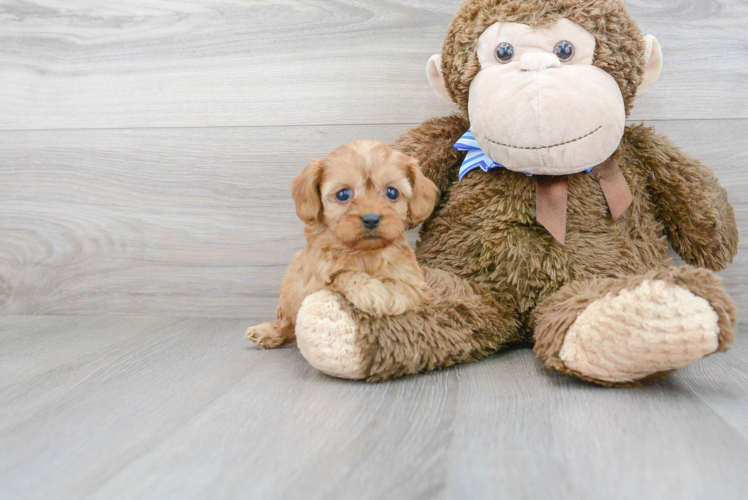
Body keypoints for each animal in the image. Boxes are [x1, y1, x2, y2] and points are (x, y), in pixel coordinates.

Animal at [245, 139, 438, 350]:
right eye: (343, 194)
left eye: (392, 192)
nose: (371, 219)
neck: (364, 252)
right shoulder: (316, 272)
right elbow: (342, 273)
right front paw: (371, 291)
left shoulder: (416, 283)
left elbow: (405, 288)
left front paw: (391, 295)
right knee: (288, 324)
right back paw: (268, 333)